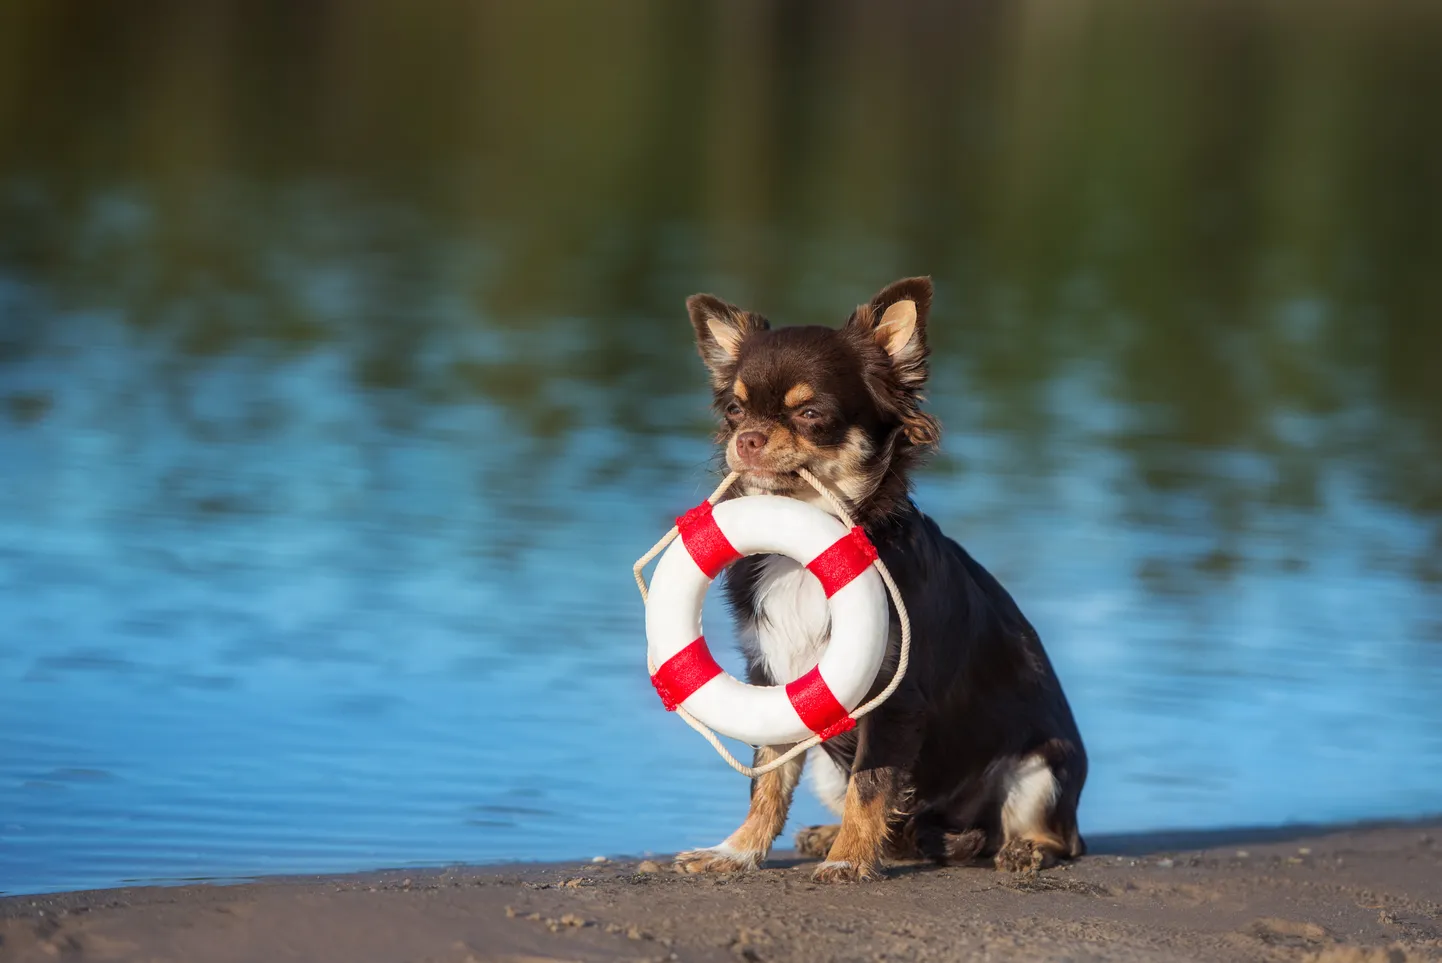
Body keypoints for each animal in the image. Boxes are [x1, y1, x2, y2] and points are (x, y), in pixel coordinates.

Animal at [669, 276, 1084, 882]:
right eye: (734, 408)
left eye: (810, 413)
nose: (745, 438)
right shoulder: (775, 682)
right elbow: (769, 779)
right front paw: (737, 851)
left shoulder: (892, 700)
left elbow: (870, 783)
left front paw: (848, 861)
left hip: (1041, 767)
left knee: (1056, 837)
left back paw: (1021, 849)